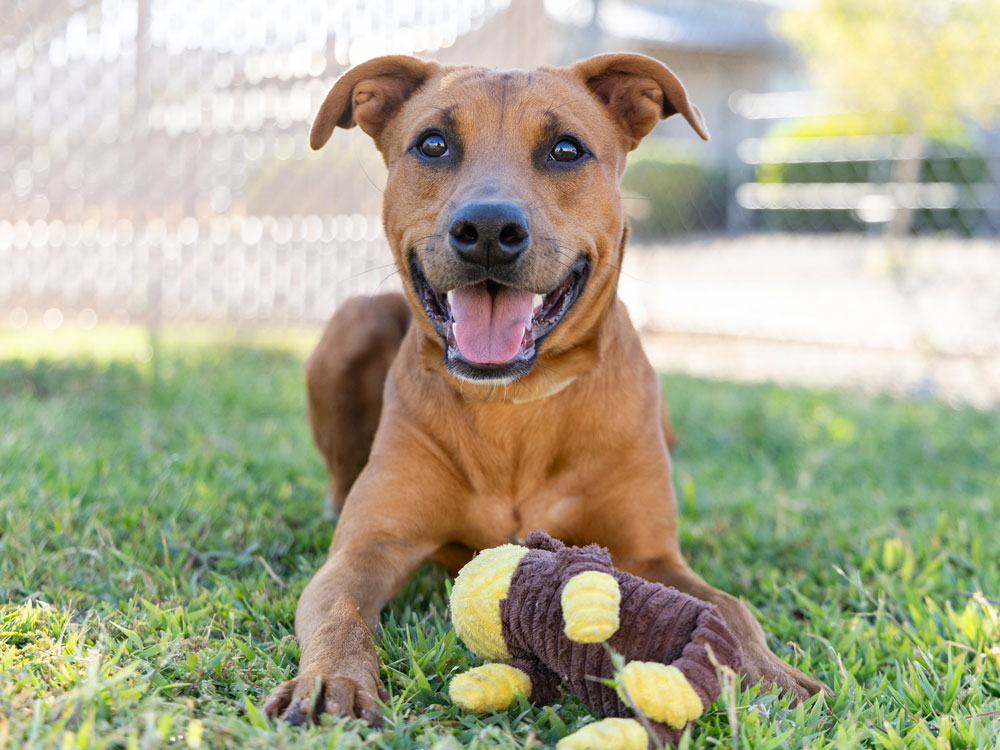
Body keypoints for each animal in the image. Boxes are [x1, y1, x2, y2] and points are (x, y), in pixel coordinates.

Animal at [264, 53, 828, 728]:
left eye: (565, 149)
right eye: (433, 144)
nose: (487, 228)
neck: (513, 405)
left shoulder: (655, 557)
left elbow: (727, 606)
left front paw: (772, 675)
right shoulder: (366, 550)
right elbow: (339, 609)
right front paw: (331, 680)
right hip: (352, 323)